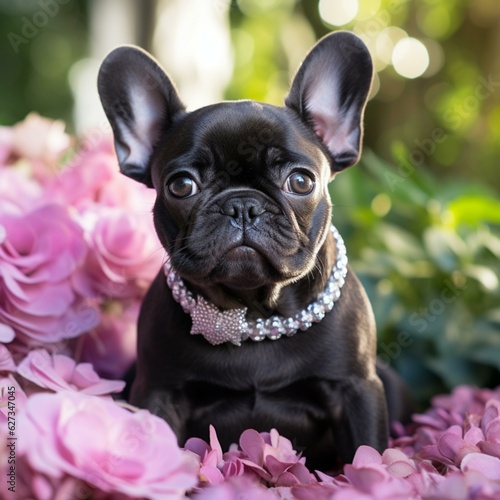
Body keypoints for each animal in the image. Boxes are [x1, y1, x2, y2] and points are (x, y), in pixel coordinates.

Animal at [96, 32, 394, 472]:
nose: (241, 205)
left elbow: (366, 450)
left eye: (301, 181)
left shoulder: (357, 390)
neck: (255, 313)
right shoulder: (158, 392)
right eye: (181, 185)